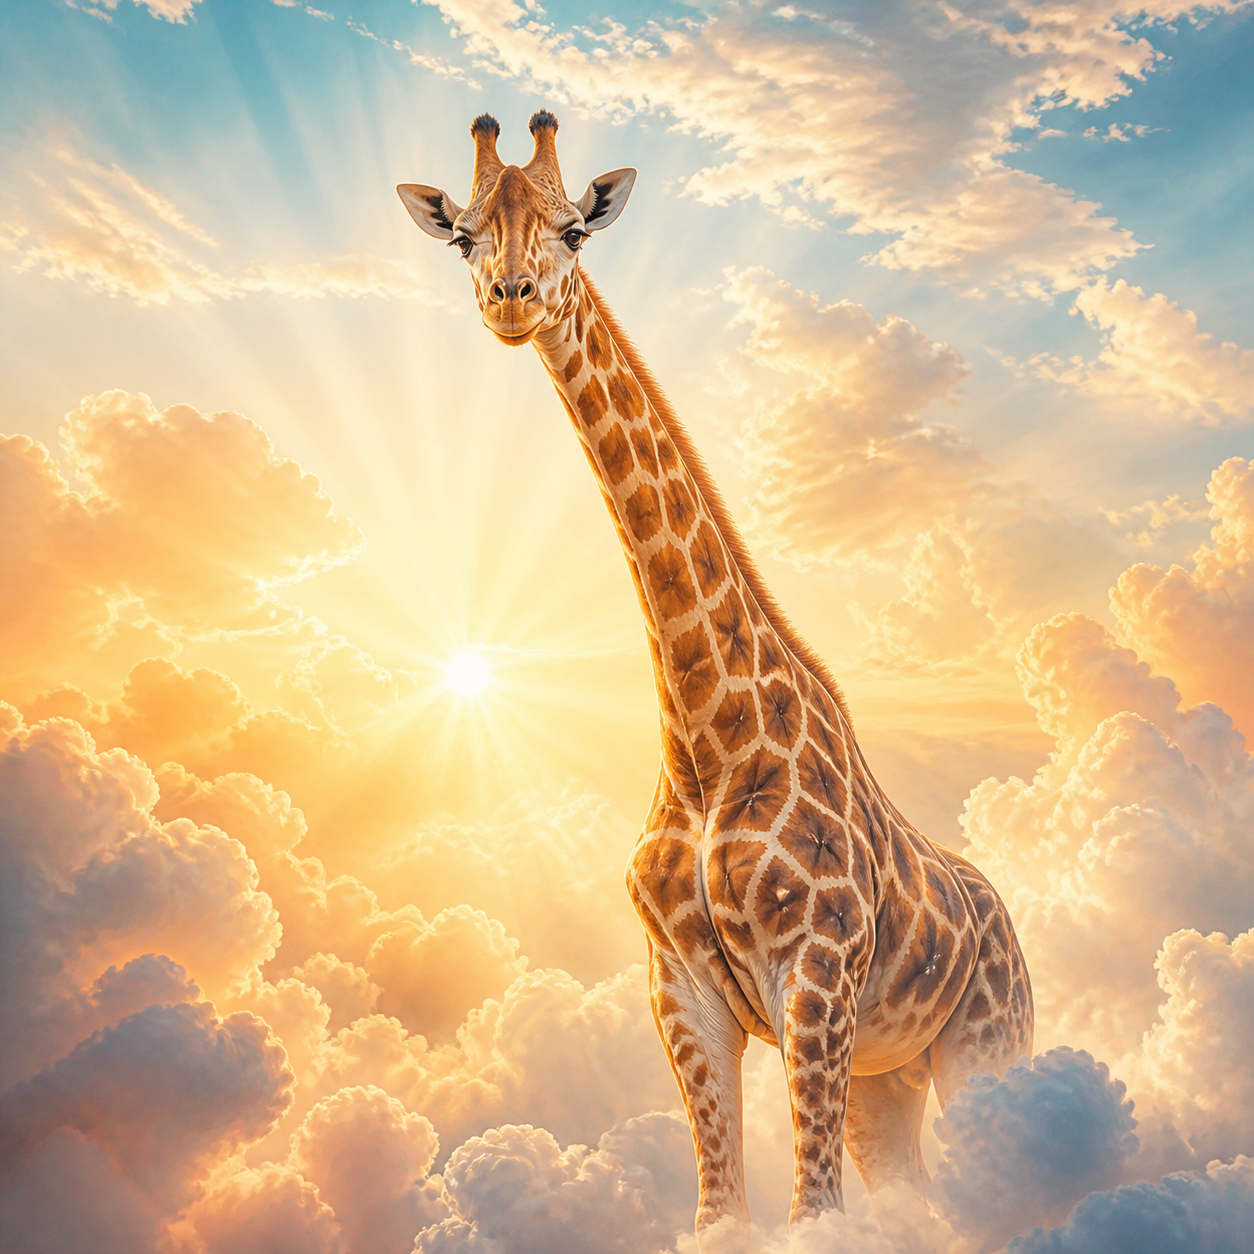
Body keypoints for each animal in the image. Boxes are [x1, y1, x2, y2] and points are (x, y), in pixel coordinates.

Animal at [398, 111, 1033, 1249]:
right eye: (464, 236)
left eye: (574, 230)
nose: (512, 299)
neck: (702, 735)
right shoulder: (681, 990)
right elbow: (721, 1212)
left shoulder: (814, 976)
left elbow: (810, 1211)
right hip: (891, 1080)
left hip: (988, 1046)